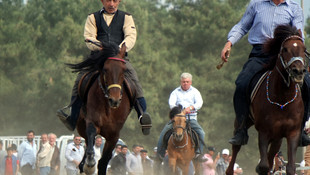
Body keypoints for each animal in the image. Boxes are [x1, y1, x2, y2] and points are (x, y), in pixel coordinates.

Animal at [68, 41, 131, 174]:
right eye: (105, 69)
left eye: (123, 70)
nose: (114, 99)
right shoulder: (92, 122)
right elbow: (91, 144)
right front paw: (89, 164)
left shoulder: (114, 135)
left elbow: (103, 162)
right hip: (81, 125)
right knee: (87, 144)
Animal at [226, 25, 308, 175]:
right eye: (285, 49)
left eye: (304, 49)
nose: (298, 71)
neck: (282, 99)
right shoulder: (264, 132)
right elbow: (263, 166)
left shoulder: (292, 133)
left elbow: (290, 167)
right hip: (243, 123)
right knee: (236, 147)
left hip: (277, 137)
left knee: (272, 155)